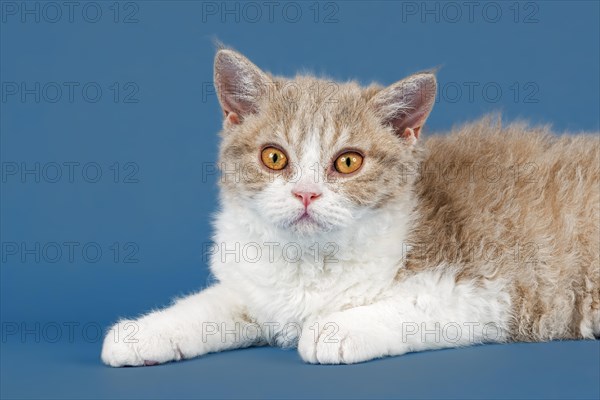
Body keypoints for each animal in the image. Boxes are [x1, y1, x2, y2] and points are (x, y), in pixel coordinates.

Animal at [101, 47, 596, 366]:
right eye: (274, 157)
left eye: (348, 161)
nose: (306, 193)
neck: (308, 264)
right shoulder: (256, 291)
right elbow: (211, 306)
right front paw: (142, 332)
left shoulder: (487, 288)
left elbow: (416, 304)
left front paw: (334, 329)